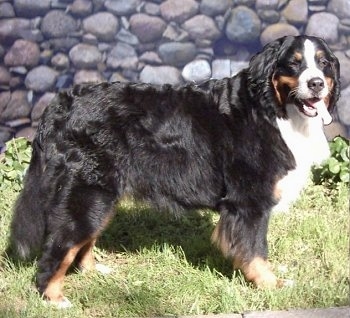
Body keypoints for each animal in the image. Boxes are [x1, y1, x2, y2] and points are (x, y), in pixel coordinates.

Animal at [9, 35, 340, 308]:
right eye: (294, 64)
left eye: (323, 63)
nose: (316, 83)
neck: (272, 110)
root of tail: (60, 104)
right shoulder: (249, 202)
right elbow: (255, 248)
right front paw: (271, 284)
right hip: (88, 191)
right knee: (61, 243)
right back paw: (53, 296)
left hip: (103, 194)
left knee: (85, 236)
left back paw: (95, 270)